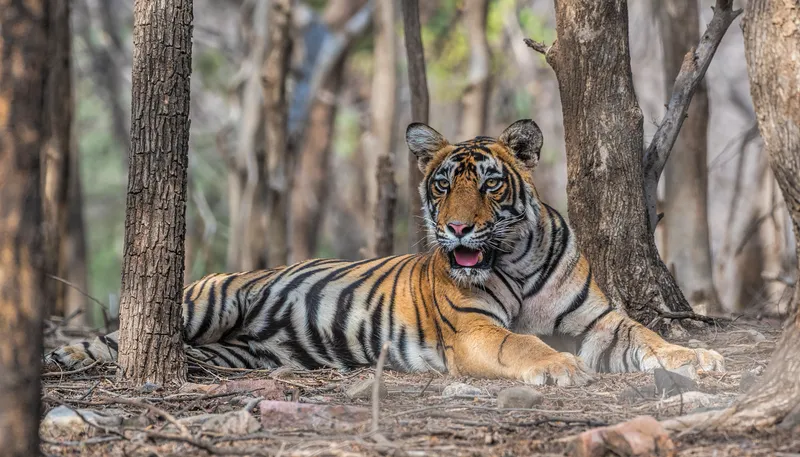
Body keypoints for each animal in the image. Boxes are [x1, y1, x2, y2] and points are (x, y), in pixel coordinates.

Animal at [48, 119, 724, 382]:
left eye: (489, 184)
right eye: (443, 184)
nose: (457, 229)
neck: (517, 259)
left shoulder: (601, 322)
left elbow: (650, 337)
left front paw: (701, 358)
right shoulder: (476, 331)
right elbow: (523, 343)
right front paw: (559, 366)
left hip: (239, 355)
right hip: (207, 302)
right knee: (114, 341)